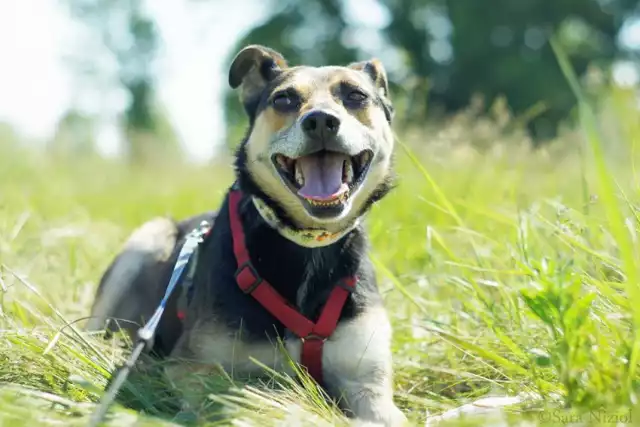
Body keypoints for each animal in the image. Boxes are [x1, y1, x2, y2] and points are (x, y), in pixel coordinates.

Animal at [86, 45, 404, 426]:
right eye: (284, 99)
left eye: (356, 96)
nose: (321, 122)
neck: (305, 243)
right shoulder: (196, 368)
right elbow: (246, 401)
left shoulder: (368, 380)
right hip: (146, 238)